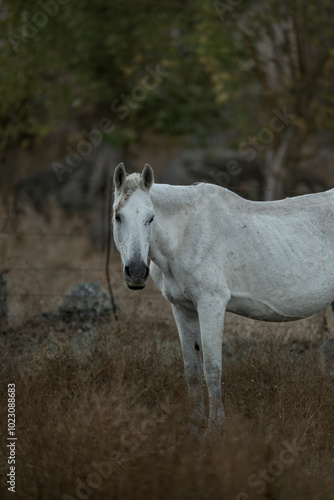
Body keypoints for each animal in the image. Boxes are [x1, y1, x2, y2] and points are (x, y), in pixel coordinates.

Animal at [112, 163, 334, 434]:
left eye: (150, 218)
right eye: (118, 216)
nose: (135, 272)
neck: (186, 233)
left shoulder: (211, 304)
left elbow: (212, 368)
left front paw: (214, 429)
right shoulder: (182, 309)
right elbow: (192, 369)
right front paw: (194, 427)